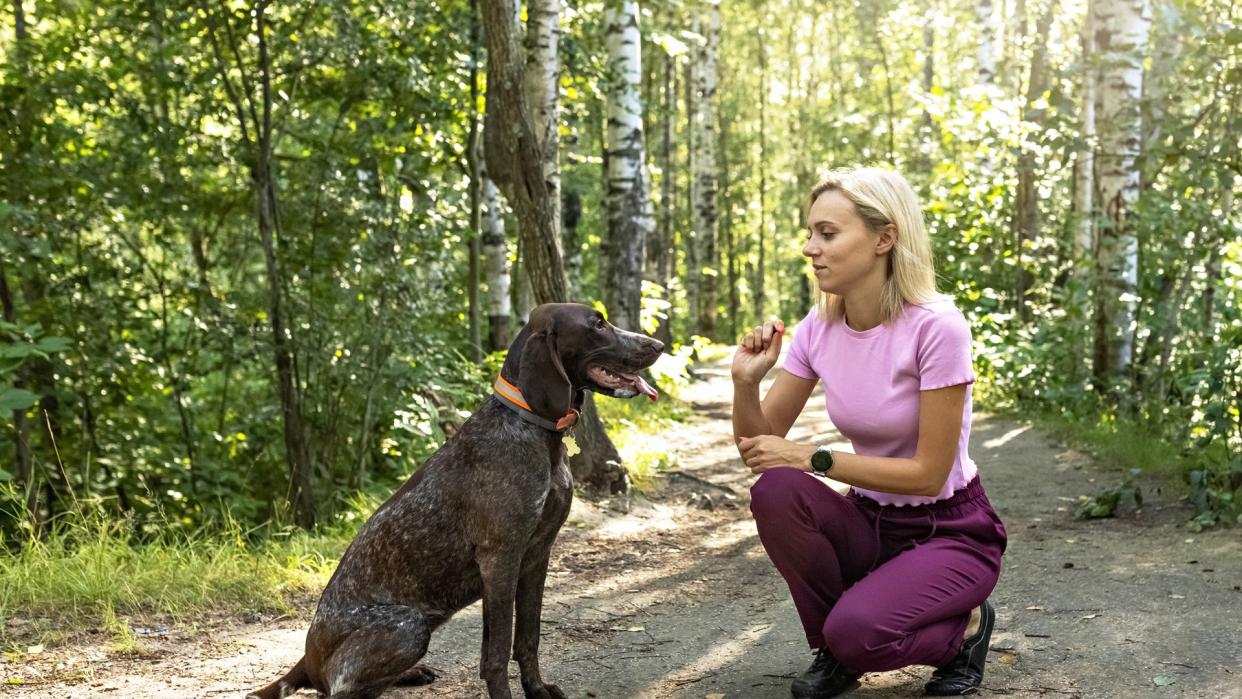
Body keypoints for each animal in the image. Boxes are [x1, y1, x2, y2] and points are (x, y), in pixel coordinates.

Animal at [247, 305, 665, 699]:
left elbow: (528, 639)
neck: (533, 430)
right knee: (337, 691)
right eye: (598, 324)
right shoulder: (500, 559)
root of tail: (306, 659)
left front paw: (536, 689)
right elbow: (497, 653)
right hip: (409, 628)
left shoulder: (537, 555)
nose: (659, 345)